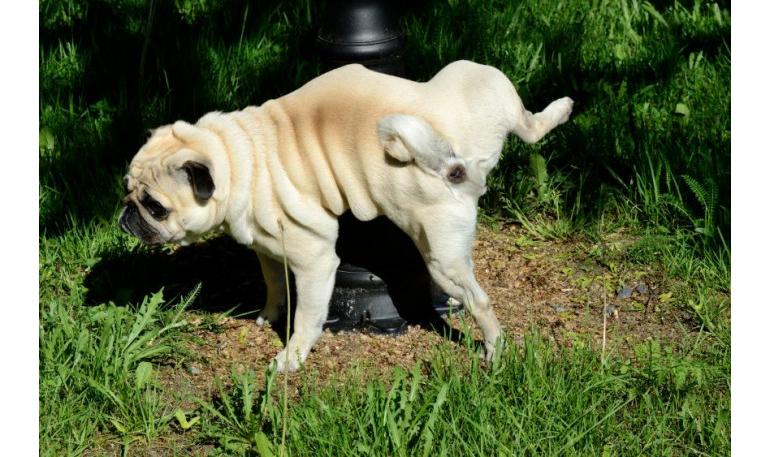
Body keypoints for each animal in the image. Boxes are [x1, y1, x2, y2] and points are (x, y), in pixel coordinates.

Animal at [117, 59, 568, 370]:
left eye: (155, 207)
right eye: (126, 189)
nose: (126, 213)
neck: (238, 155)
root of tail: (459, 163)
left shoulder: (315, 261)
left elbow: (307, 316)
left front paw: (292, 358)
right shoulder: (266, 249)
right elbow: (274, 285)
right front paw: (268, 314)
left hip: (441, 259)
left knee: (481, 299)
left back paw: (493, 349)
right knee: (528, 126)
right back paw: (561, 109)